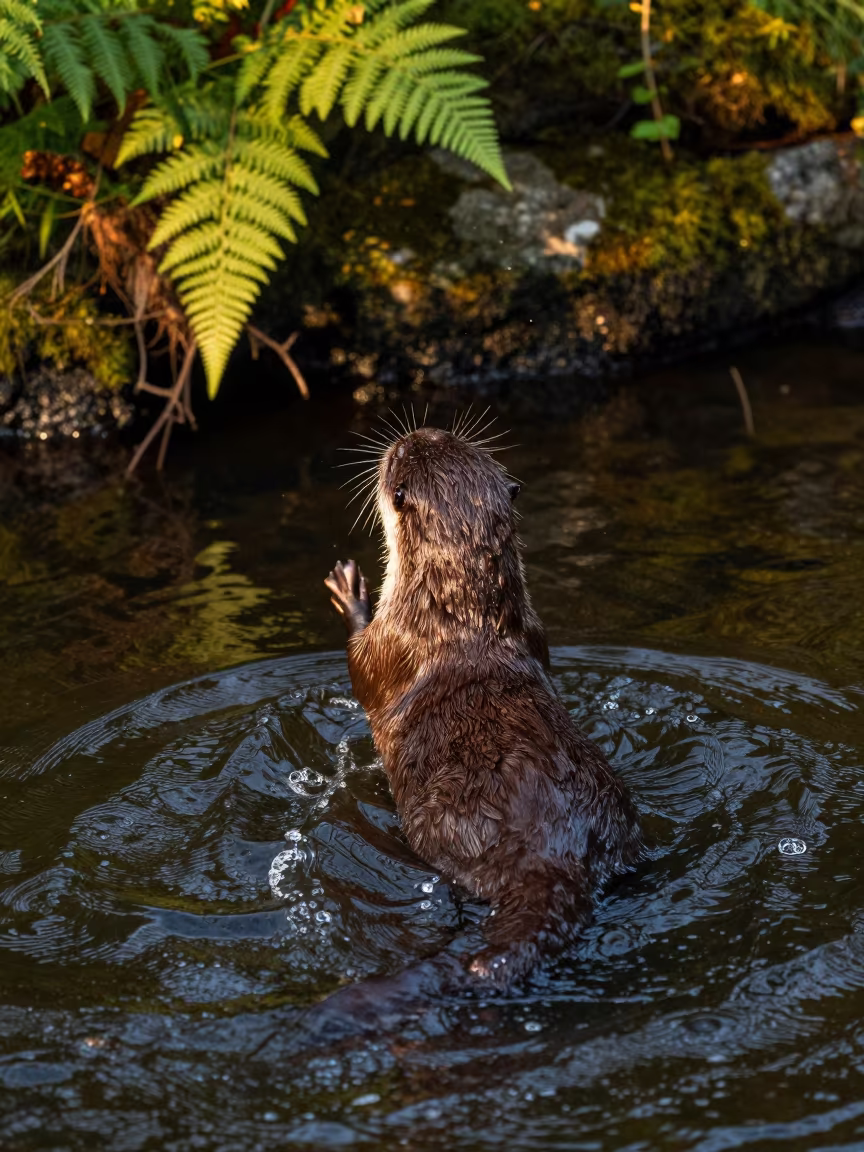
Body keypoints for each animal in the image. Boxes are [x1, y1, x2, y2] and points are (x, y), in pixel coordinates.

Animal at [325, 424, 641, 986]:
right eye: (442, 434)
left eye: (399, 460)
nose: (416, 432)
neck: (465, 623)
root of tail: (557, 853)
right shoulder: (536, 632)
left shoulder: (388, 644)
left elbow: (360, 664)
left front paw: (351, 592)